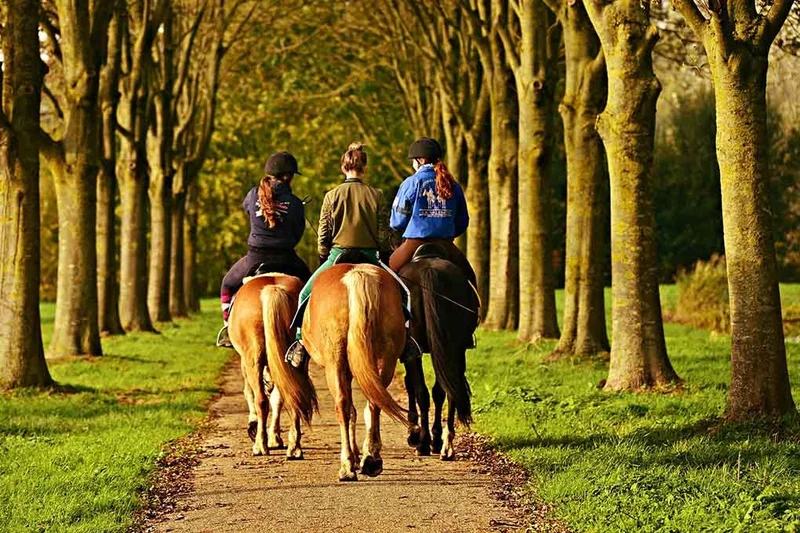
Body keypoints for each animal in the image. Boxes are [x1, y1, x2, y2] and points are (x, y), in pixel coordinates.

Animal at [227, 274, 318, 458]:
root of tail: (273, 289)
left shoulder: (245, 363)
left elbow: (249, 393)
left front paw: (254, 427)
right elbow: (277, 398)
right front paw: (275, 438)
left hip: (252, 359)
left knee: (261, 399)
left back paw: (260, 446)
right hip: (295, 361)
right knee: (293, 395)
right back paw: (294, 447)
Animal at [304, 260, 410, 480]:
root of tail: (357, 274)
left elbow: (350, 409)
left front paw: (352, 455)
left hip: (334, 361)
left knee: (343, 405)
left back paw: (347, 466)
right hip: (385, 358)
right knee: (374, 402)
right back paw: (371, 459)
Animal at [398, 245, 476, 458]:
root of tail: (429, 269)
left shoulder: (410, 353)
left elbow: (412, 385)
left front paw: (414, 434)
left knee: (423, 392)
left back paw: (424, 443)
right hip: (454, 348)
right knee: (448, 390)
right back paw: (445, 445)